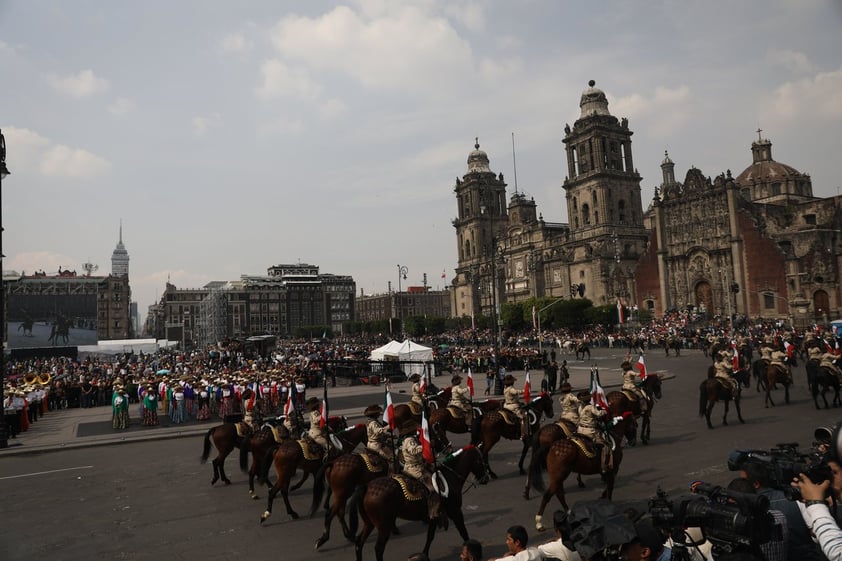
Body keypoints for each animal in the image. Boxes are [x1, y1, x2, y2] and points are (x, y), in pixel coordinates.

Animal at [352, 442, 488, 560]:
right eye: (480, 460)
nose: (485, 478)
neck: (450, 477)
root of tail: (367, 487)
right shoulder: (455, 512)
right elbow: (464, 533)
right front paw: (472, 550)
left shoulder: (435, 516)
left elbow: (430, 536)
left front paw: (424, 554)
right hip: (384, 526)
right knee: (379, 548)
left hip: (369, 523)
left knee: (359, 543)